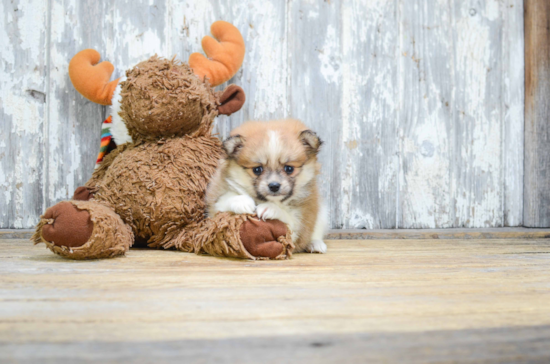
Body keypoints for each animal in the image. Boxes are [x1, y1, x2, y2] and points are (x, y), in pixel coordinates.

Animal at [207, 119, 328, 253]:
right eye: (257, 170)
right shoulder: (215, 207)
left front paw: (271, 208)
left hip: (322, 214)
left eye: (289, 168)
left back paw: (316, 244)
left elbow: (288, 219)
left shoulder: (300, 224)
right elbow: (226, 199)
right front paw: (242, 202)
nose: (274, 186)